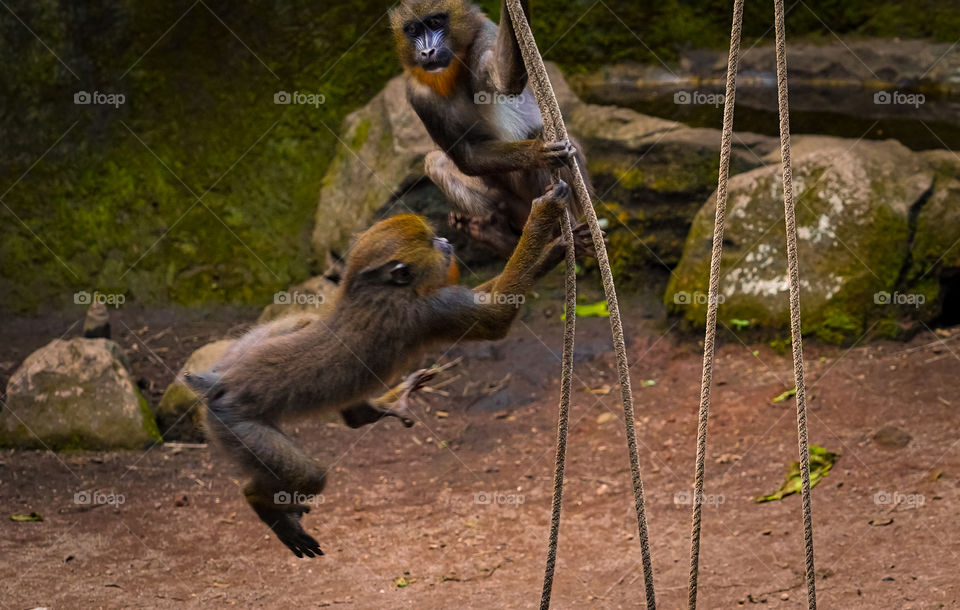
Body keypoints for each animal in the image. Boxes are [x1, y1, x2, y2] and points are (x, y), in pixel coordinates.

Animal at [184, 179, 568, 556]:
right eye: (433, 242)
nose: (446, 242)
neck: (371, 288)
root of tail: (219, 384)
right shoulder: (429, 311)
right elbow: (496, 317)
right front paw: (545, 220)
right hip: (235, 425)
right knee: (309, 476)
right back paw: (261, 502)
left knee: (302, 323)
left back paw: (363, 413)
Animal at [388, 0, 592, 258]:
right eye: (413, 30)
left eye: (435, 22)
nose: (427, 52)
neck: (450, 75)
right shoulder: (419, 95)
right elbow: (467, 157)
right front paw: (536, 153)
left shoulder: (483, 35)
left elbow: (505, 79)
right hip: (517, 208)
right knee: (437, 162)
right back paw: (499, 236)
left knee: (543, 134)